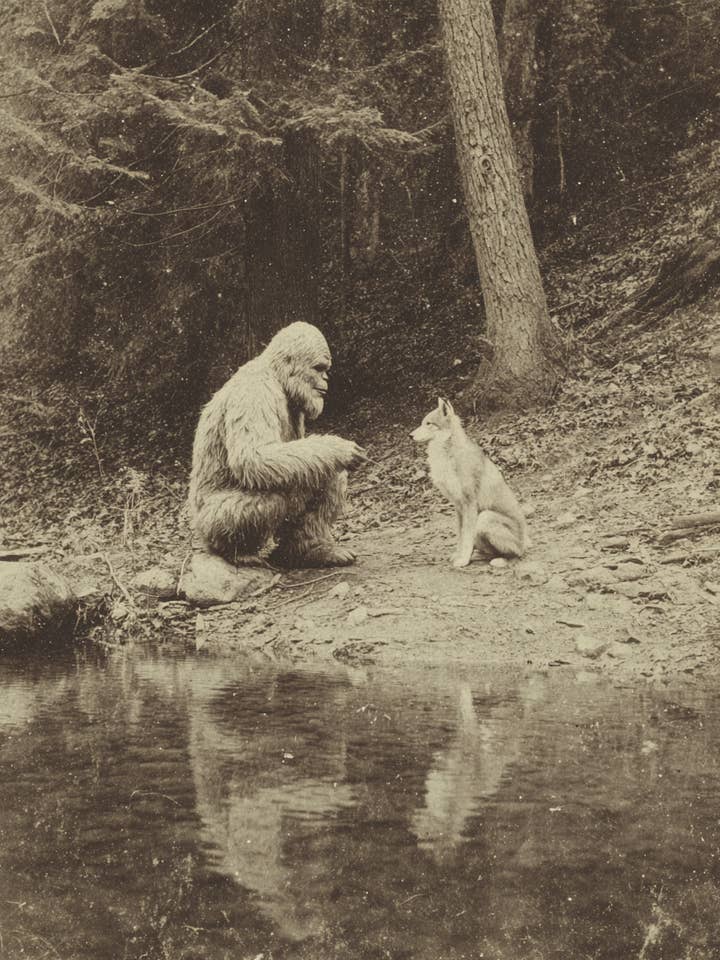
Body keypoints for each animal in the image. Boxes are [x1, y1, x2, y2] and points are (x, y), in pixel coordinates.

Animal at [411, 398, 527, 567]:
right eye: (422, 423)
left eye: (428, 423)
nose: (410, 435)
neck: (450, 453)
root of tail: (525, 543)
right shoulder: (459, 506)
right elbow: (461, 535)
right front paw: (460, 555)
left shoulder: (469, 503)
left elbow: (466, 537)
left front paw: (463, 560)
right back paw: (480, 555)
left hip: (485, 518)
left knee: (516, 553)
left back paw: (500, 559)